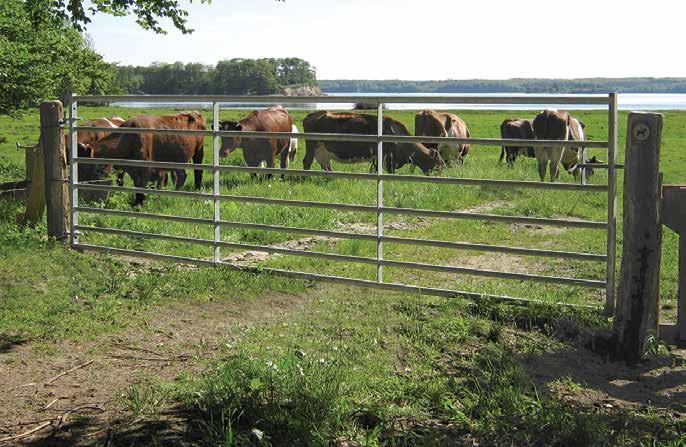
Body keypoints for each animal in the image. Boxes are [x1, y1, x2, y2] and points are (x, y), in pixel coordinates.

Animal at [302, 111, 446, 176]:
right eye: (438, 161)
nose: (444, 169)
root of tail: (312, 114)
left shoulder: (377, 158)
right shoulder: (386, 158)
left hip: (323, 151)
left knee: (326, 165)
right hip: (312, 145)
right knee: (307, 161)